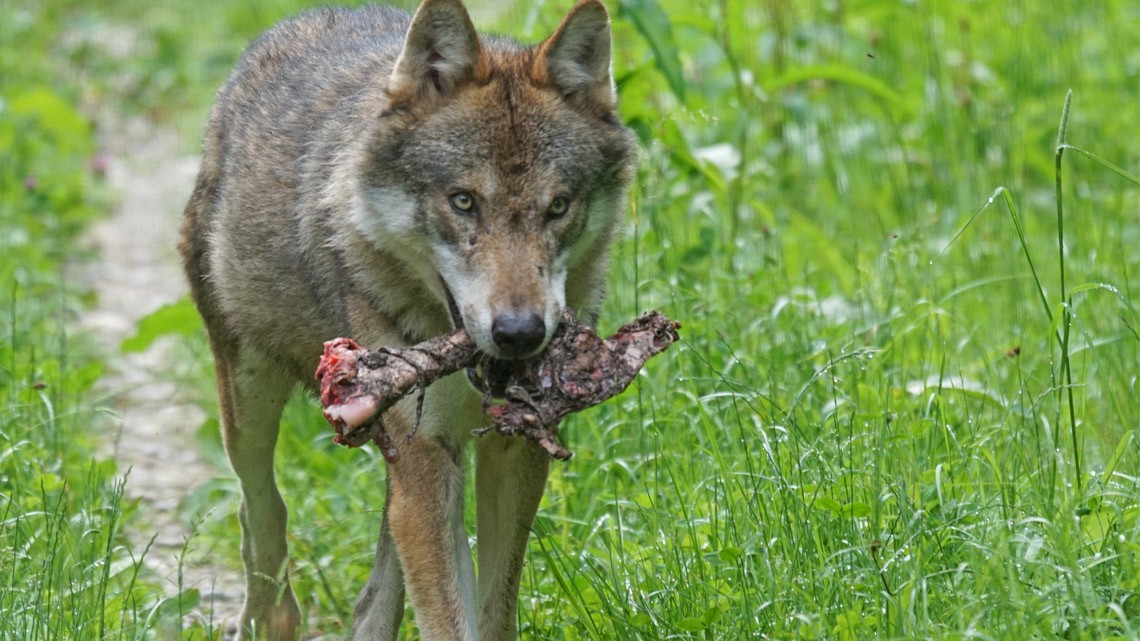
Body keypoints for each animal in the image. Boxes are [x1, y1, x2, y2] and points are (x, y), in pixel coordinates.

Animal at [182, 0, 638, 634]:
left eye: (558, 207)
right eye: (463, 202)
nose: (519, 334)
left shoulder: (510, 451)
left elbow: (491, 608)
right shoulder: (424, 456)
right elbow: (449, 620)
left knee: (374, 589)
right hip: (250, 404)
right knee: (260, 510)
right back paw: (268, 620)